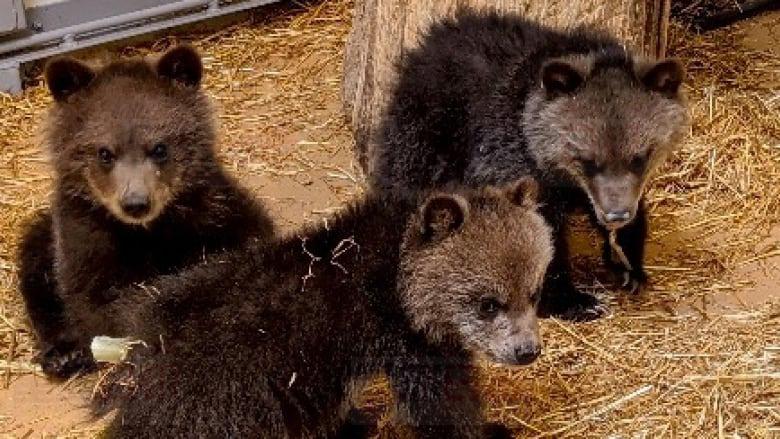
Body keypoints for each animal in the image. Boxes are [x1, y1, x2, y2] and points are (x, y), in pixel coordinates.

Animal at [16, 45, 275, 379]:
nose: (136, 203)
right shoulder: (85, 232)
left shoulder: (213, 208)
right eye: (104, 152)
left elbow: (245, 238)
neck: (147, 232)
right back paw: (63, 355)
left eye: (160, 148)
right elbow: (91, 293)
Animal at [91, 179, 552, 438]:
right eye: (488, 304)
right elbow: (443, 404)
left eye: (534, 292)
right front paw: (491, 429)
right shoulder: (407, 341)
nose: (527, 351)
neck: (399, 278)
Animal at [359, 11, 690, 321]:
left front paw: (629, 264)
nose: (617, 214)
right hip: (426, 135)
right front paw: (572, 300)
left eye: (641, 156)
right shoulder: (511, 166)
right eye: (587, 159)